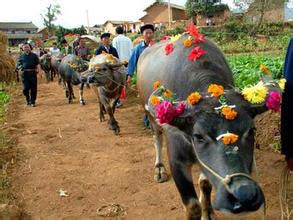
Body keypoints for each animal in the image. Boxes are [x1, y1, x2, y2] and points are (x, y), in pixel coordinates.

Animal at [136, 23, 282, 218]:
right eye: (198, 136)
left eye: (251, 131)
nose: (244, 195)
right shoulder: (177, 159)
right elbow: (192, 205)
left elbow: (205, 184)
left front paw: (208, 212)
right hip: (150, 116)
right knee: (156, 138)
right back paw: (159, 169)